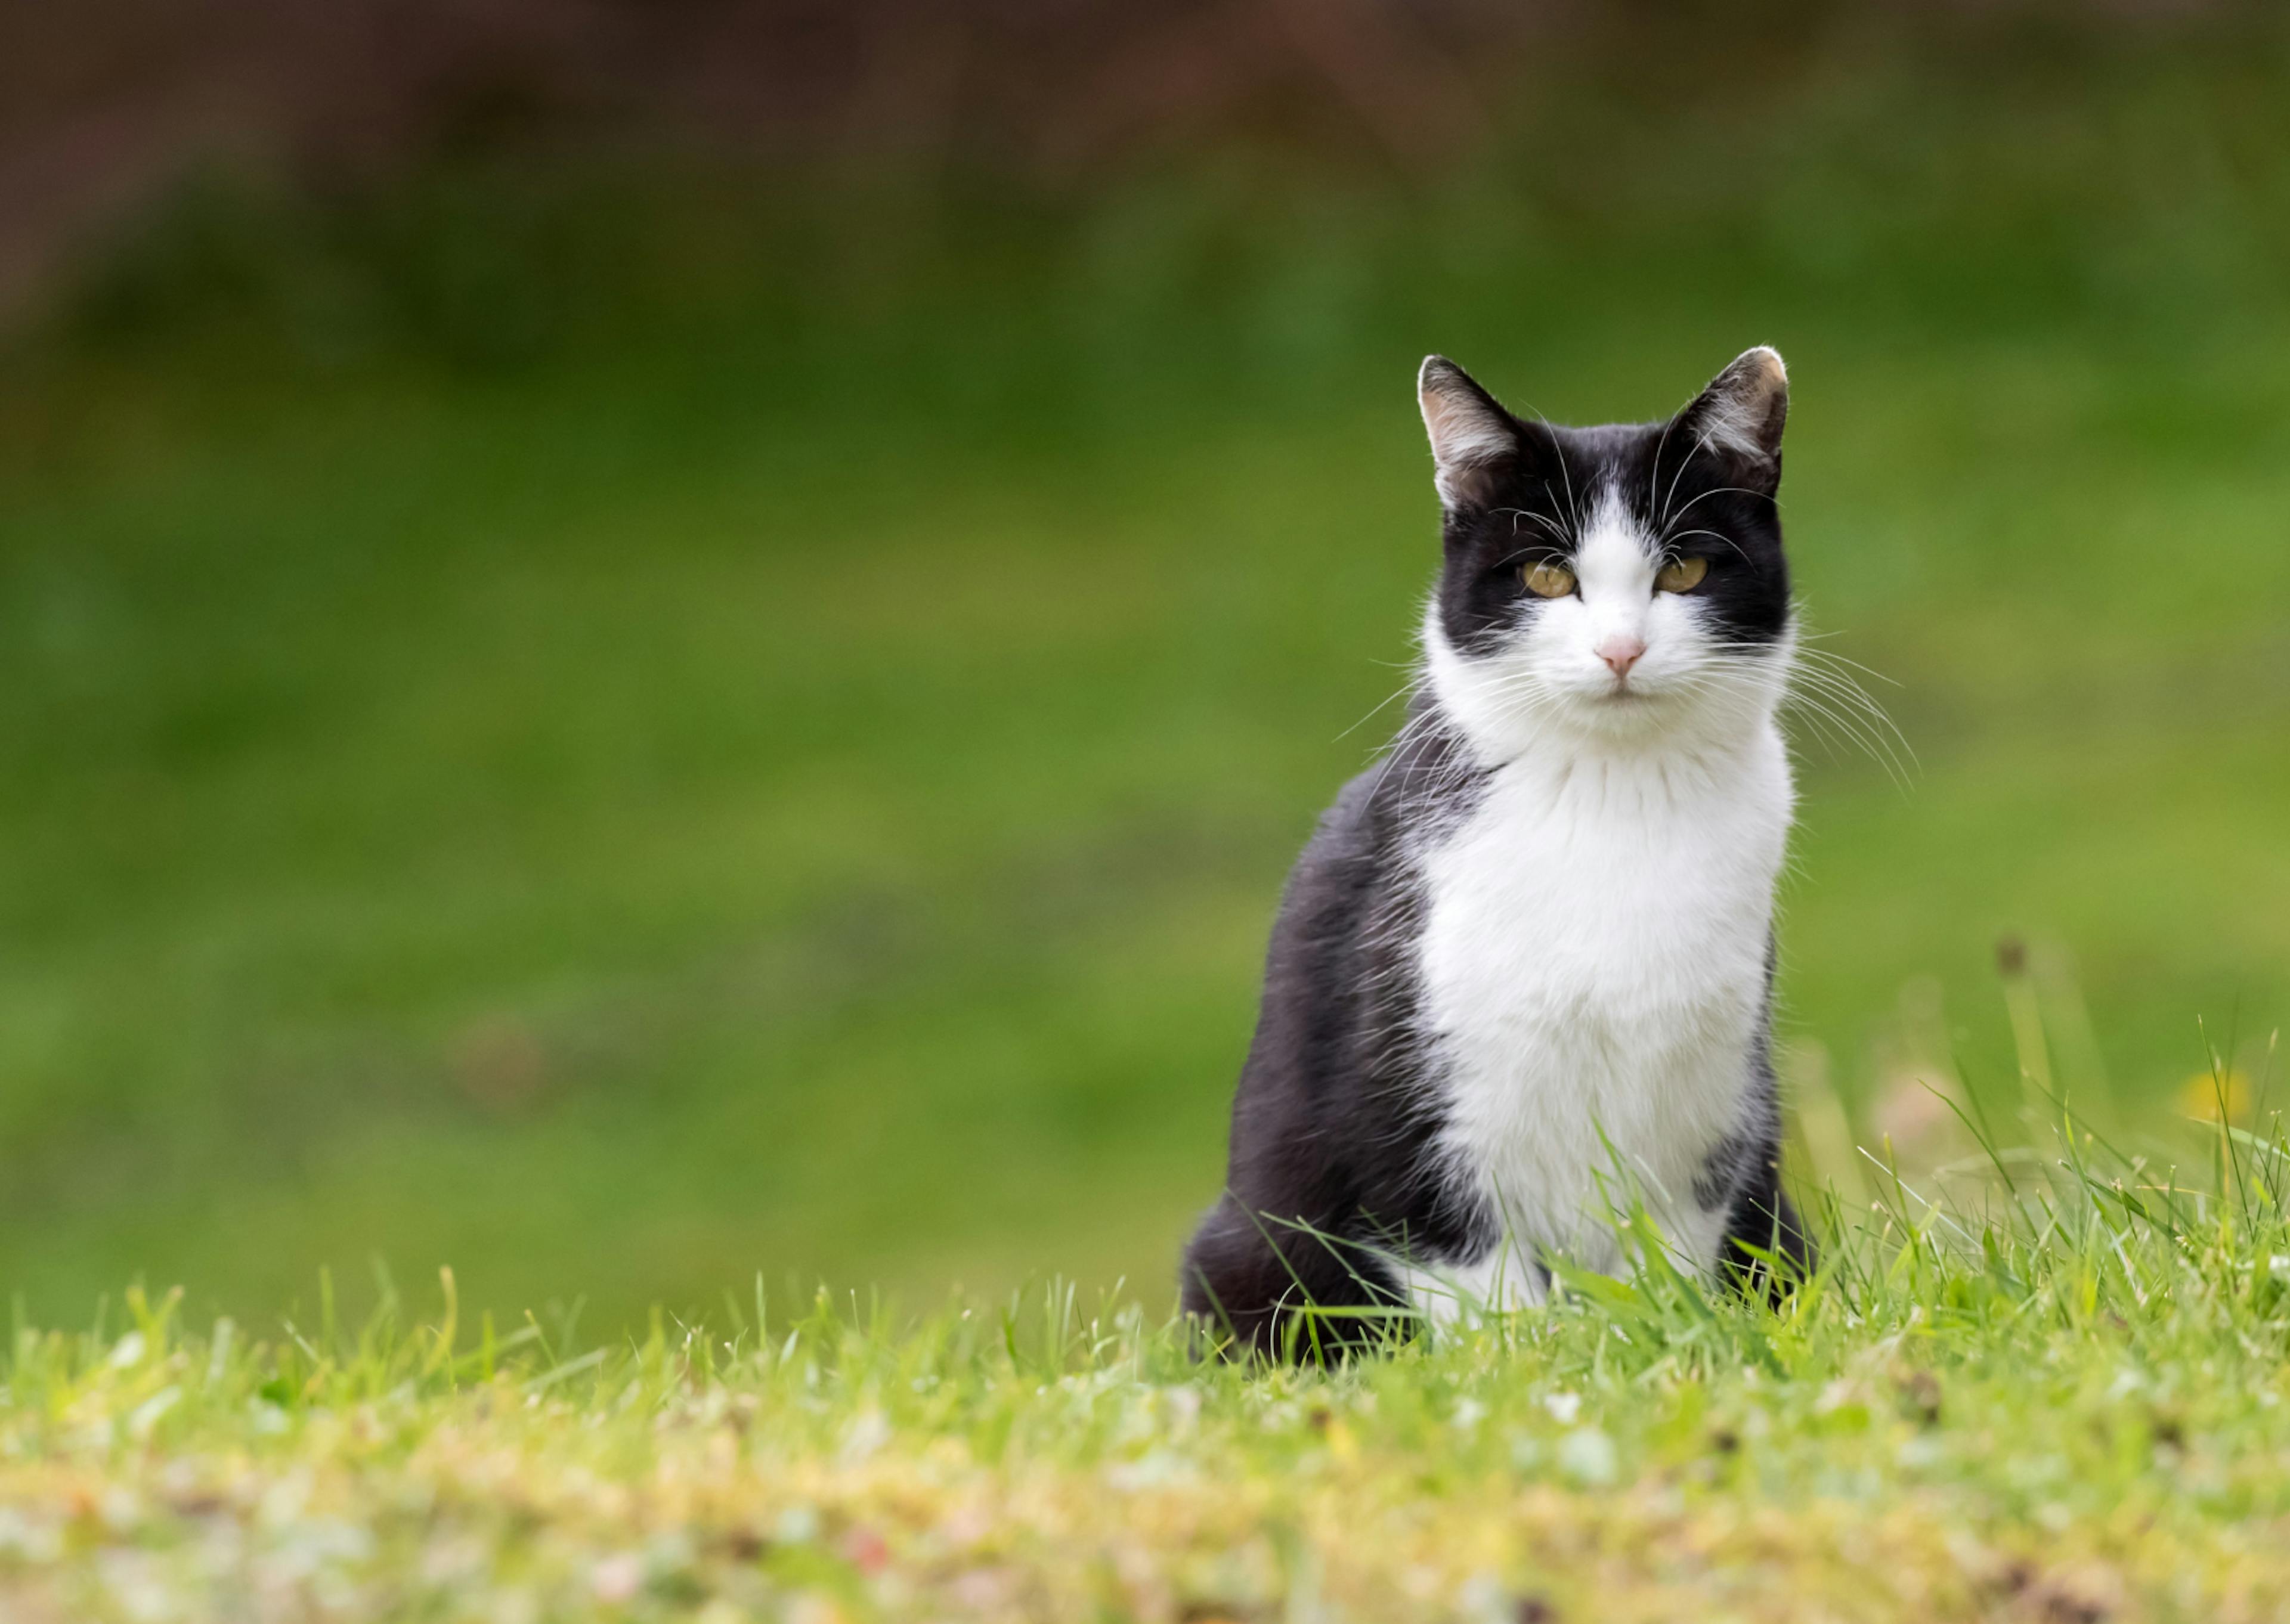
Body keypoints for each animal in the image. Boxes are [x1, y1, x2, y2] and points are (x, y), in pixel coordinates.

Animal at [1190, 346, 1814, 1356]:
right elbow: (1481, 1289)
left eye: (1684, 569)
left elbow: (1668, 1263)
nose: (1620, 651)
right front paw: (1531, 1369)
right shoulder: (1409, 1109)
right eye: (1548, 578)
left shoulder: (1708, 1108)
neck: (1612, 804)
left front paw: (1658, 1347)